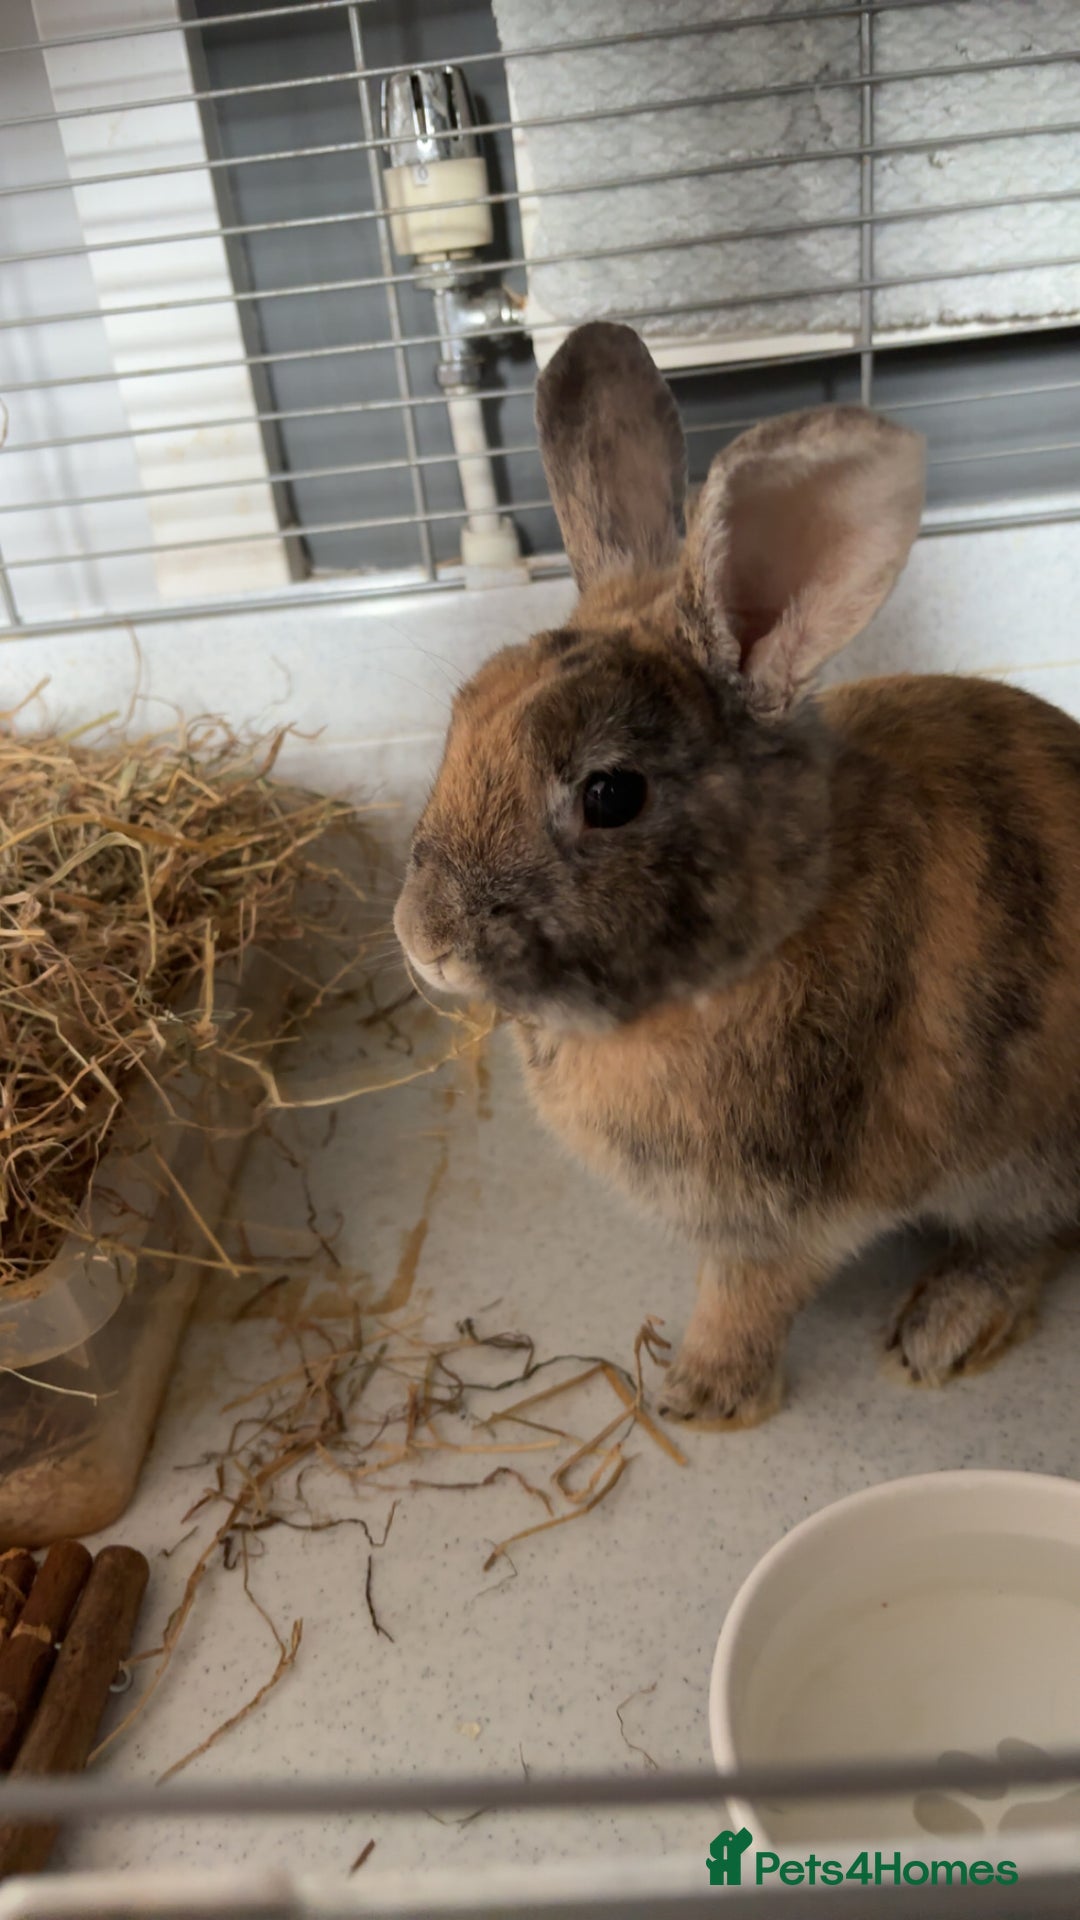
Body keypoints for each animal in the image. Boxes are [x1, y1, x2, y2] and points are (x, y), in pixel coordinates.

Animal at [394, 319, 1080, 1427]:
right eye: (462, 719)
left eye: (610, 795)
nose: (426, 940)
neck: (771, 928)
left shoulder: (780, 1214)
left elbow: (746, 1296)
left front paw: (702, 1398)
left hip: (1028, 1157)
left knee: (1032, 1238)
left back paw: (939, 1331)